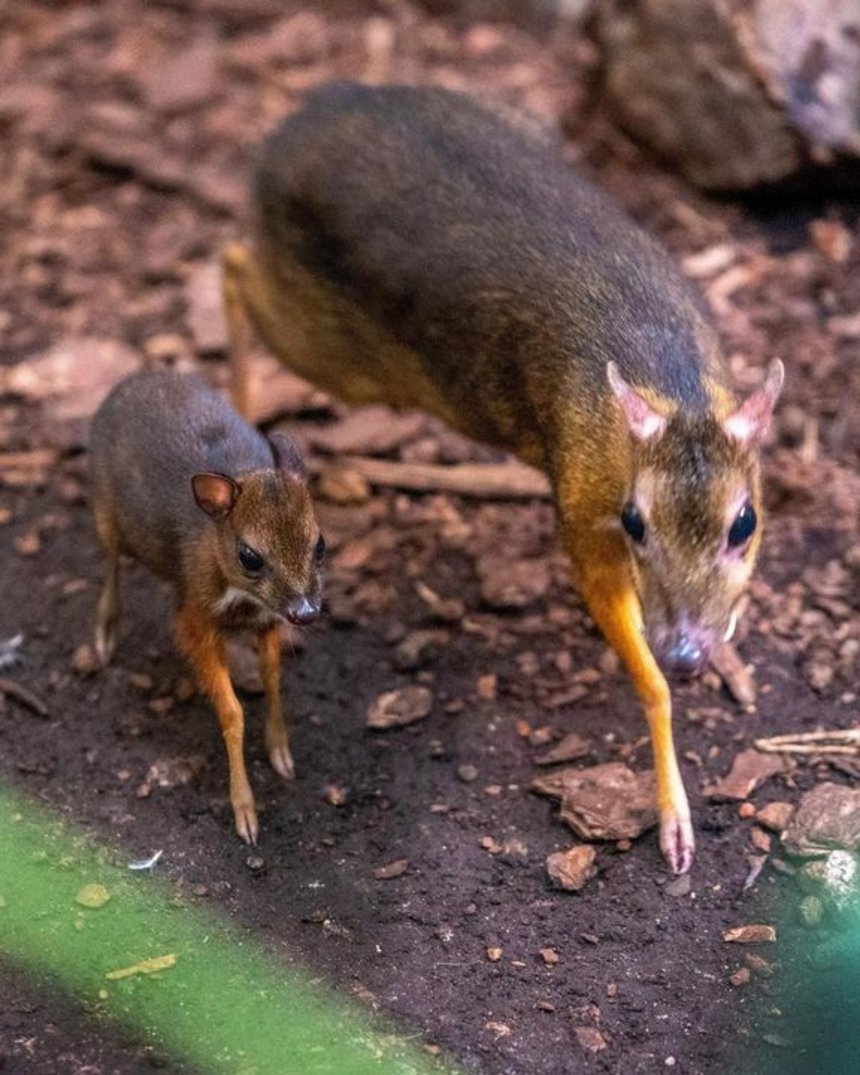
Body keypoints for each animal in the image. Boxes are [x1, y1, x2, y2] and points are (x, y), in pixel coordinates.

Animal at [90, 371, 324, 847]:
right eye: (249, 557)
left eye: (321, 545)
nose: (307, 611)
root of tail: (133, 378)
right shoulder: (193, 621)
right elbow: (231, 712)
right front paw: (245, 812)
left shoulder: (269, 621)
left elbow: (274, 677)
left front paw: (281, 752)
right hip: (105, 510)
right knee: (111, 559)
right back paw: (103, 633)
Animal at [220, 83, 778, 872]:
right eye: (634, 522)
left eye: (745, 523)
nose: (690, 653)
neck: (670, 386)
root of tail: (298, 121)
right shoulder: (581, 509)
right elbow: (649, 681)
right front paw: (674, 816)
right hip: (328, 345)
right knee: (234, 263)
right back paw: (239, 413)